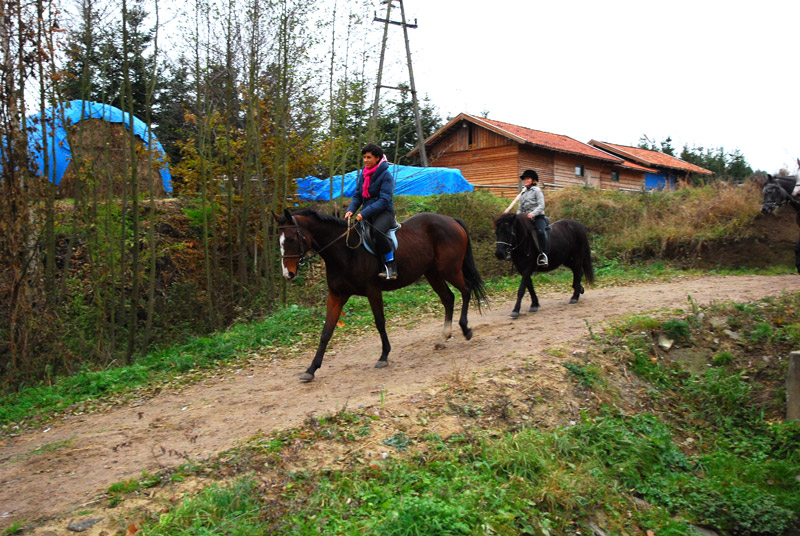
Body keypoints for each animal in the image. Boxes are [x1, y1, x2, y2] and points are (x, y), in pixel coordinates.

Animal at [276, 208, 488, 382]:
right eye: (279, 241)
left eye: (292, 239)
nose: (288, 274)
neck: (345, 251)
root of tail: (451, 220)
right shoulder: (336, 295)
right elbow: (326, 331)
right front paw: (311, 369)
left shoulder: (373, 291)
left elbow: (379, 322)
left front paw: (384, 356)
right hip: (433, 273)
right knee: (448, 298)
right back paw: (443, 338)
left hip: (449, 269)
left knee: (466, 290)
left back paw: (465, 329)